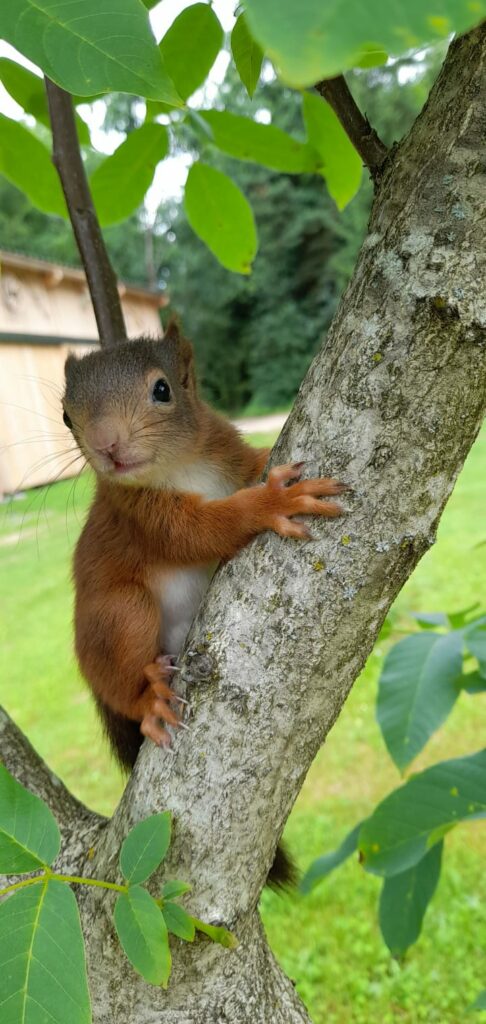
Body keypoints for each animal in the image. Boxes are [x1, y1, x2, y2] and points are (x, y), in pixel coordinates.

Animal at [62, 321, 345, 886]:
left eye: (163, 389)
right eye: (66, 416)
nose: (107, 447)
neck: (184, 466)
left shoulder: (232, 455)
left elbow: (256, 462)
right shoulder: (145, 518)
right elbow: (204, 531)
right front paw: (272, 502)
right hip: (120, 617)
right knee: (126, 675)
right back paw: (147, 698)